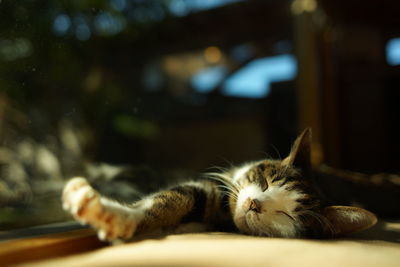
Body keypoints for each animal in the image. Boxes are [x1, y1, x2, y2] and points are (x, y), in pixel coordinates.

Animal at [62, 129, 378, 242]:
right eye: (265, 183)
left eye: (287, 214)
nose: (254, 203)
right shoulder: (214, 188)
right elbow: (174, 197)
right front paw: (114, 214)